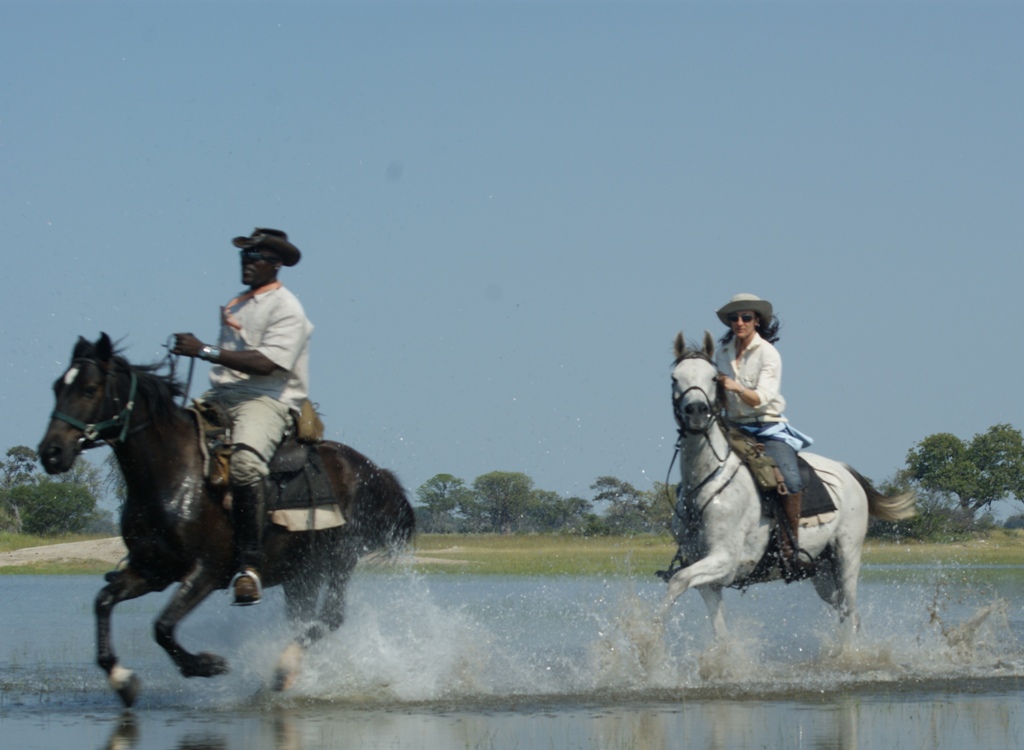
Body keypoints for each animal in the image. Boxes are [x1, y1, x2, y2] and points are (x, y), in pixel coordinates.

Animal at [38, 334, 415, 709]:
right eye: (57, 387)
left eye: (90, 389)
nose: (51, 453)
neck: (173, 475)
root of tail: (374, 471)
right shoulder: (153, 570)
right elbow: (103, 602)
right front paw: (122, 680)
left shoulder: (206, 571)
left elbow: (162, 626)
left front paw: (206, 665)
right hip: (301, 572)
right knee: (304, 619)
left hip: (339, 560)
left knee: (330, 617)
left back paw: (282, 670)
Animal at [659, 331, 917, 643]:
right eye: (675, 378)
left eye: (713, 377)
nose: (697, 412)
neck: (706, 482)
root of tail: (846, 472)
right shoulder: (705, 572)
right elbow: (717, 628)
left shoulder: (725, 560)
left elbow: (676, 581)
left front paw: (650, 638)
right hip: (822, 572)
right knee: (850, 614)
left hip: (847, 556)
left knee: (848, 608)